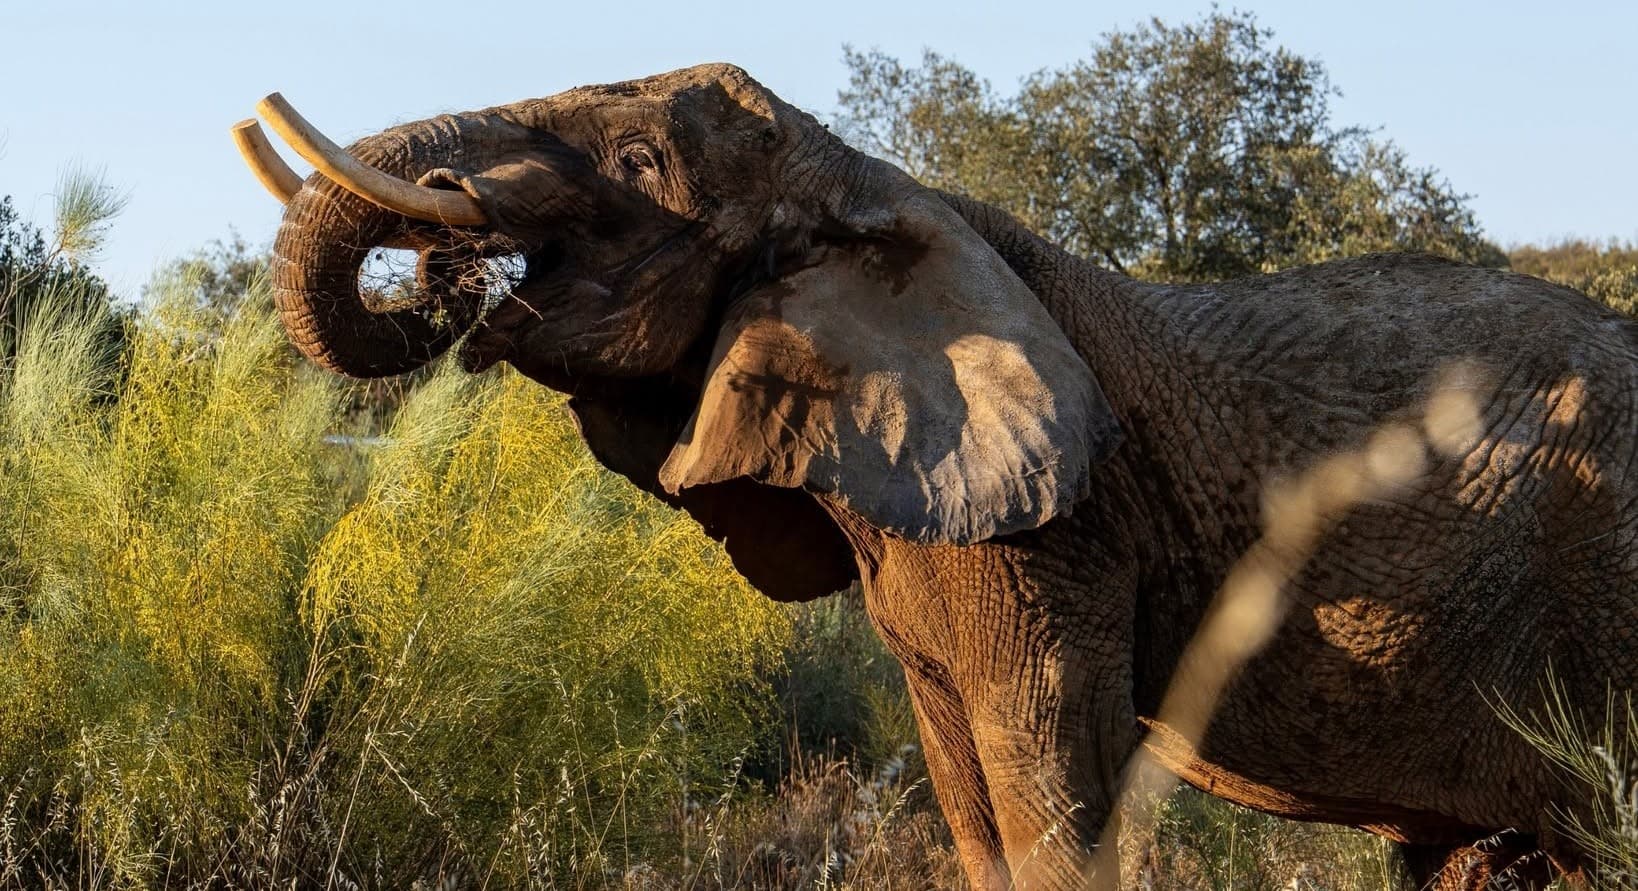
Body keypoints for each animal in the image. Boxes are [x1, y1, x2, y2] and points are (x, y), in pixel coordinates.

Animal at [234, 64, 1636, 889]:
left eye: (640, 168)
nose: (446, 251)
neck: (881, 189)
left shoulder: (1064, 534)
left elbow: (1046, 784)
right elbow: (969, 800)